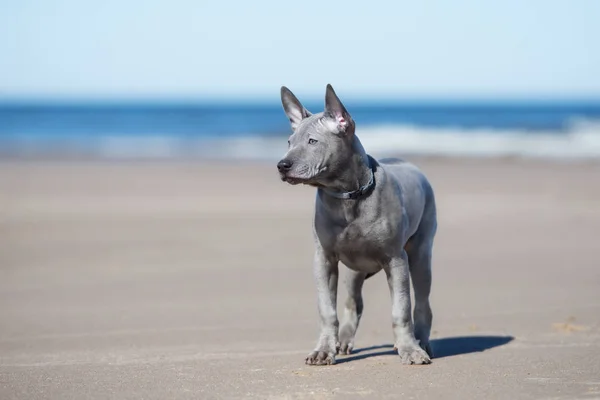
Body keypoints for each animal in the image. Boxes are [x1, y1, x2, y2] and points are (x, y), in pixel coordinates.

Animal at [276, 84, 436, 366]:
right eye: (289, 142)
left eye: (312, 141)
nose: (282, 165)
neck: (348, 197)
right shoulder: (324, 260)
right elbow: (327, 310)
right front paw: (323, 350)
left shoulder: (396, 260)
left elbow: (401, 309)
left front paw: (410, 349)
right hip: (354, 270)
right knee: (353, 303)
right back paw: (343, 341)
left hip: (420, 255)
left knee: (422, 303)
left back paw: (422, 343)